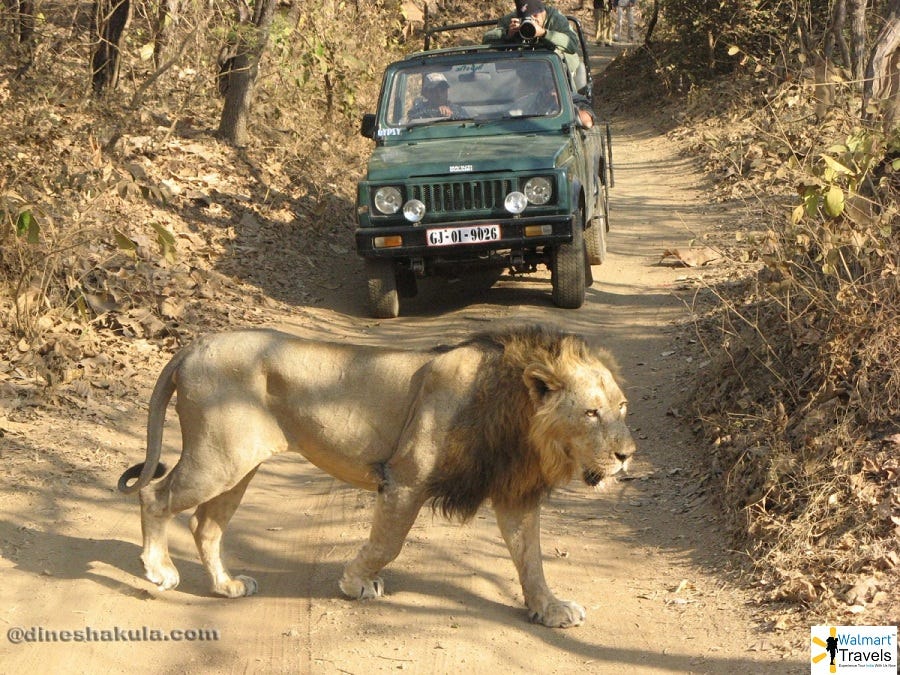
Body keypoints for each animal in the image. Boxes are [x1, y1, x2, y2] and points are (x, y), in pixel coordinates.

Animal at [119, 324, 636, 624]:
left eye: (623, 408)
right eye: (591, 412)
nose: (628, 454)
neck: (521, 420)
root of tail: (192, 347)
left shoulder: (514, 494)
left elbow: (531, 560)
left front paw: (550, 609)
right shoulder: (405, 477)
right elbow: (388, 543)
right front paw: (355, 583)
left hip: (239, 464)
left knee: (204, 524)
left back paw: (225, 586)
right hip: (218, 458)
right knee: (154, 495)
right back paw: (159, 570)